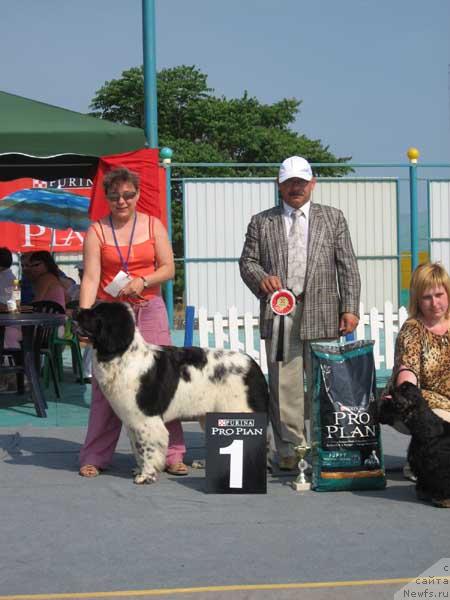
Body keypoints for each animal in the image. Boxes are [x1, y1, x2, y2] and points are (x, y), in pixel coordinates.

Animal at [75, 302, 268, 486]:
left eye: (96, 313)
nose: (76, 310)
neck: (122, 355)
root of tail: (252, 363)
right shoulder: (132, 420)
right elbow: (137, 448)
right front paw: (140, 470)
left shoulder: (146, 419)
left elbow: (147, 449)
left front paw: (146, 476)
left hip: (237, 411)